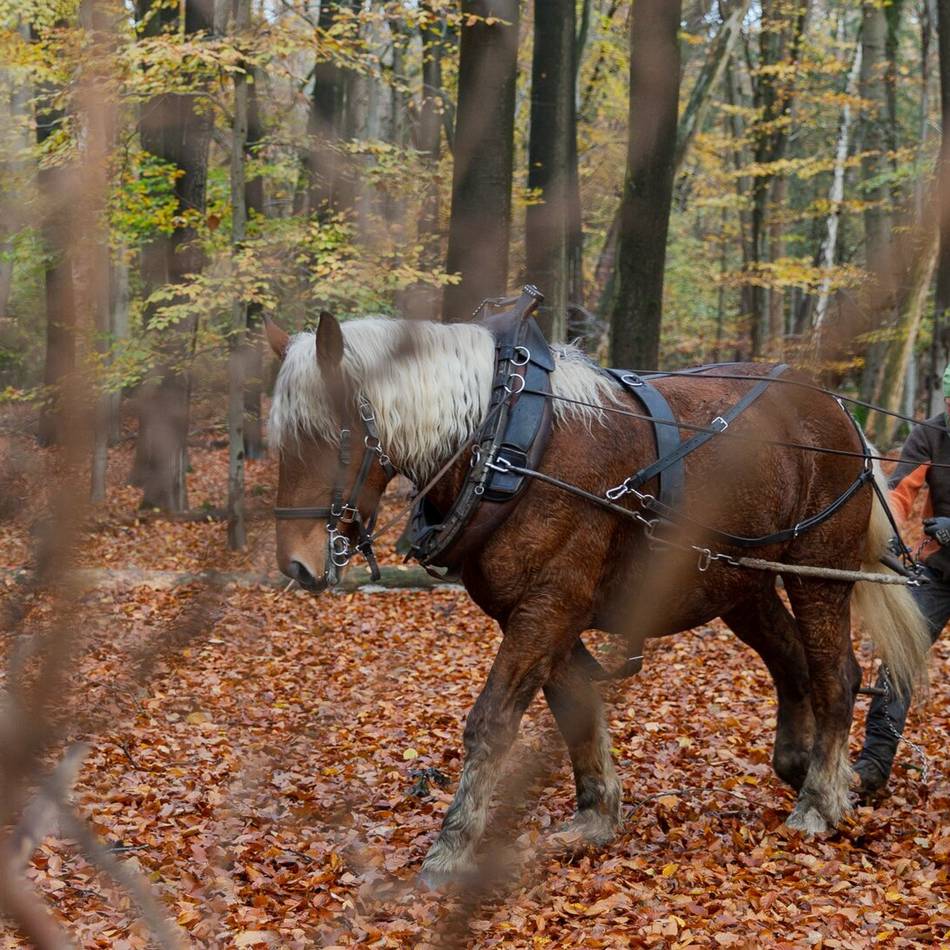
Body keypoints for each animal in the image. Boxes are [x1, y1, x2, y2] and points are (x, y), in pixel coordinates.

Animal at [264, 310, 930, 885]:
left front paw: (451, 849)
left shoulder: (550, 605)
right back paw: (805, 768)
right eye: (281, 442)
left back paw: (819, 799)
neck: (509, 445)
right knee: (792, 663)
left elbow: (492, 722)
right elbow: (575, 708)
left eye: (332, 434)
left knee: (836, 676)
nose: (297, 564)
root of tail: (837, 410)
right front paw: (595, 817)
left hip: (819, 572)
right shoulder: (537, 613)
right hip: (739, 583)